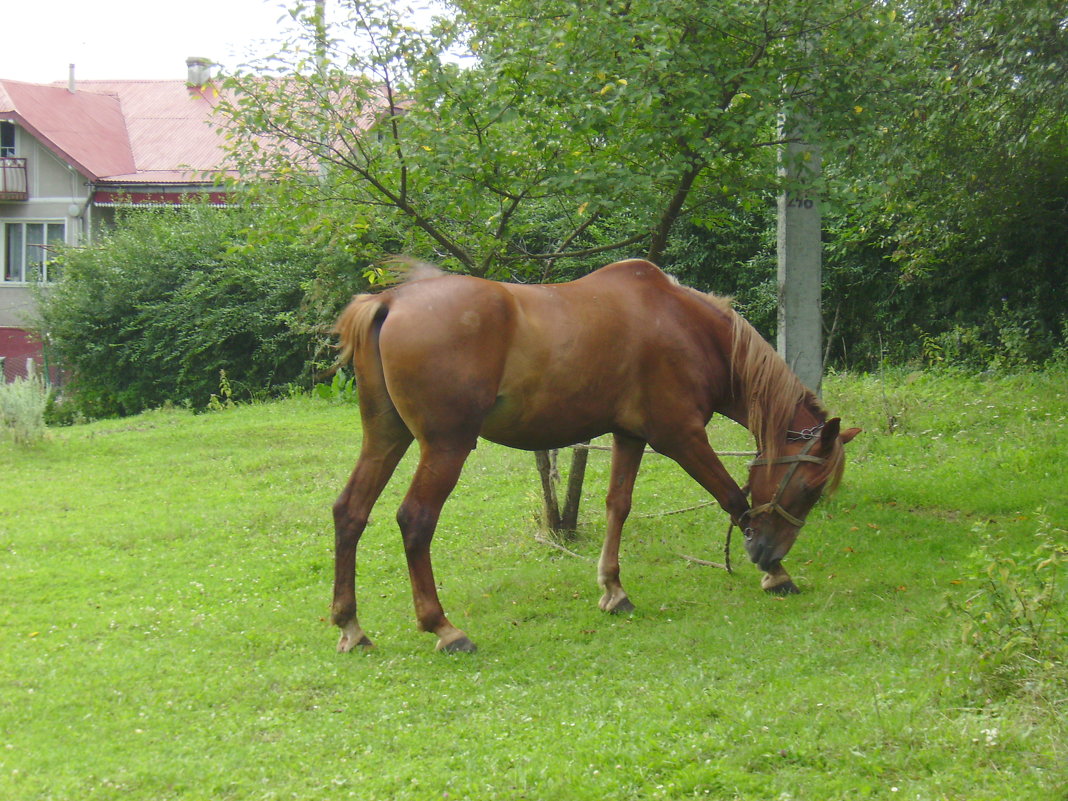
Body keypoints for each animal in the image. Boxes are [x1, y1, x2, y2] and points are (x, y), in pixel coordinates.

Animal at [331, 260, 858, 653]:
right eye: (809, 488)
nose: (768, 551)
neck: (685, 326)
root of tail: (390, 301)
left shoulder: (629, 436)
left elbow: (617, 507)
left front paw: (613, 590)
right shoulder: (681, 437)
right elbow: (733, 498)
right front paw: (776, 575)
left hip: (386, 438)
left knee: (350, 512)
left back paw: (351, 626)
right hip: (446, 446)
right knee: (415, 520)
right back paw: (443, 627)